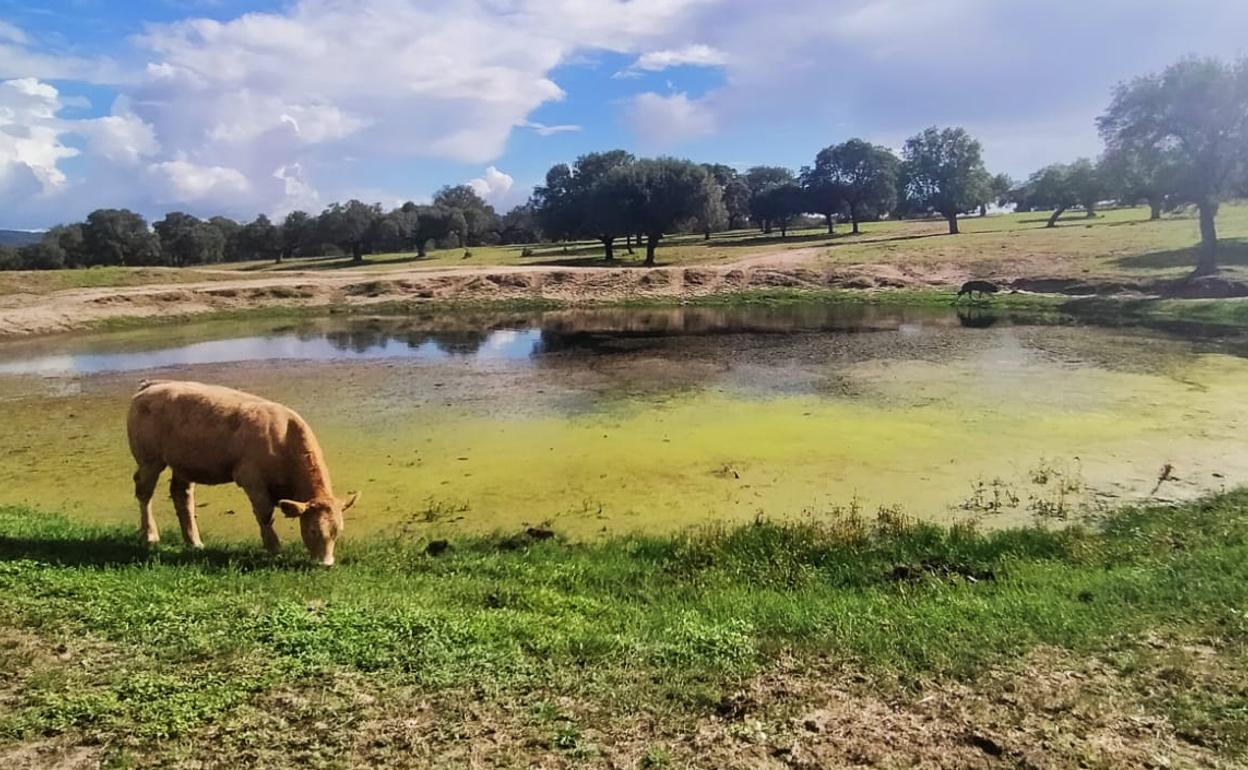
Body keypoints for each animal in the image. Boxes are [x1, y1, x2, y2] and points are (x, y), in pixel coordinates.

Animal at [126, 379, 356, 564]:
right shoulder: (251, 479)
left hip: (184, 464)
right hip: (149, 460)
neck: (283, 439)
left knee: (181, 496)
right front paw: (274, 548)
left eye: (338, 531)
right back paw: (150, 536)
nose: (325, 563)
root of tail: (151, 385)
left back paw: (194, 542)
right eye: (313, 530)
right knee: (144, 493)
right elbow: (265, 514)